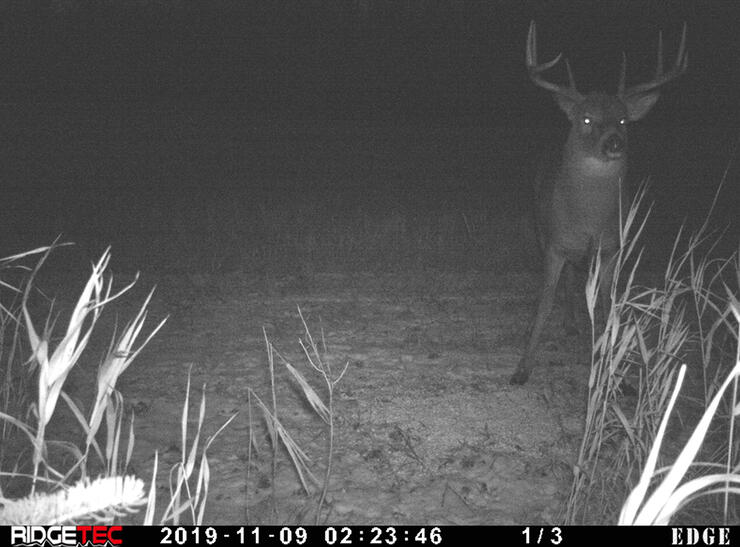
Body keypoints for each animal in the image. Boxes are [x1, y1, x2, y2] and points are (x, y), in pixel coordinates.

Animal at [509, 21, 688, 385]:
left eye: (623, 120)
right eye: (587, 119)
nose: (614, 142)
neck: (589, 218)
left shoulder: (611, 247)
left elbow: (607, 304)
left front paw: (614, 370)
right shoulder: (554, 243)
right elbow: (544, 302)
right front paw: (522, 369)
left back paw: (573, 324)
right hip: (539, 228)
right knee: (563, 280)